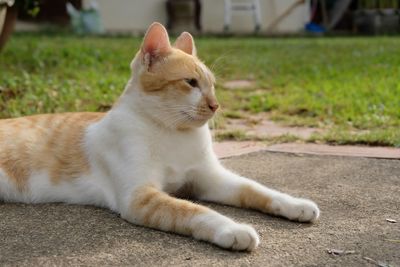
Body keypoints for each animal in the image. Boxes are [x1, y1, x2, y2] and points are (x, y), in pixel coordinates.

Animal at [0, 22, 318, 251]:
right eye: (191, 83)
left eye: (212, 85)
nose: (215, 105)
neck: (173, 133)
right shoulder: (140, 197)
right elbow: (192, 210)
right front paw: (233, 229)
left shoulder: (211, 179)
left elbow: (257, 189)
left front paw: (296, 205)